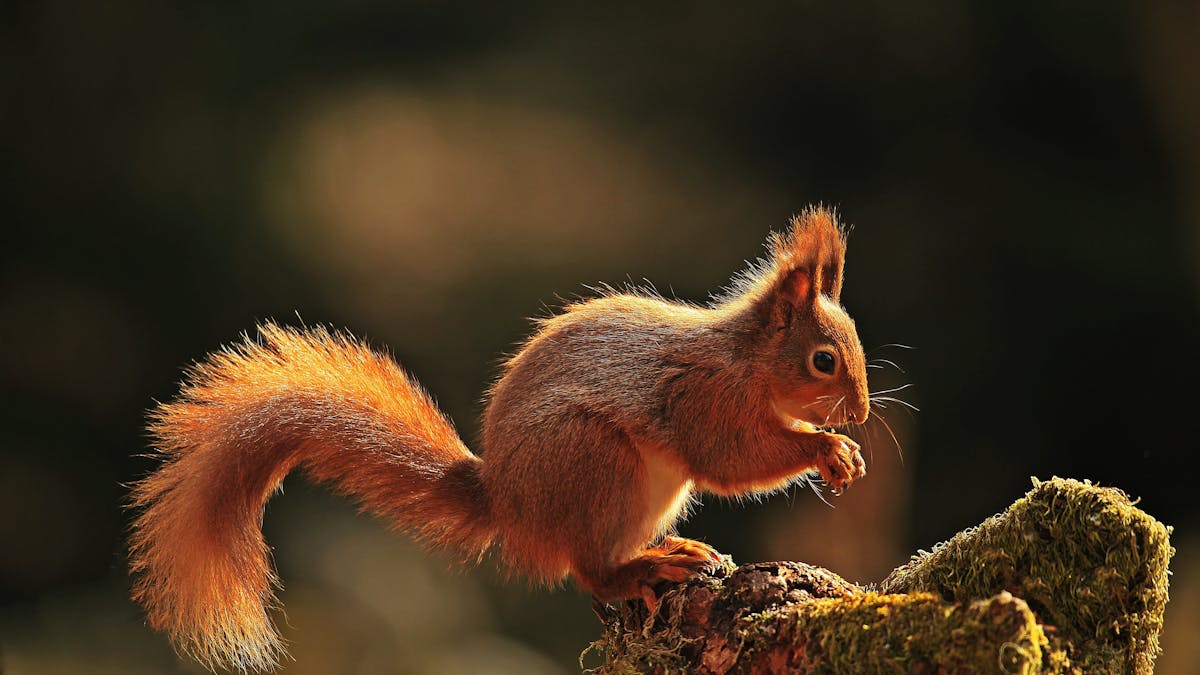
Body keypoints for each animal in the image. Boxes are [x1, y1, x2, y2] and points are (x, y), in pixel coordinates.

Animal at [128, 205, 870, 672]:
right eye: (823, 360)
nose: (861, 413)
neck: (744, 360)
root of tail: (510, 505)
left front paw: (844, 451)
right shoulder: (703, 400)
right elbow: (731, 459)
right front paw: (825, 448)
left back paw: (668, 549)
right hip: (596, 465)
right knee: (590, 569)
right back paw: (646, 566)